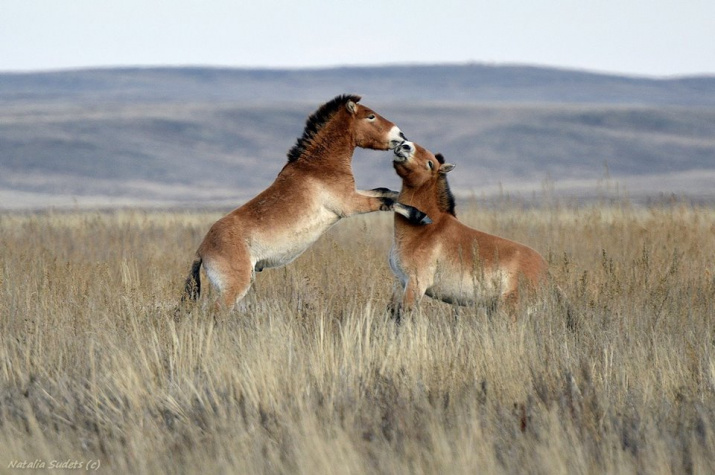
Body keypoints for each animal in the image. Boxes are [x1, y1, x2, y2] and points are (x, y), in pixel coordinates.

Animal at [185, 96, 430, 312]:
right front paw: (420, 215)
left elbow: (386, 192)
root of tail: (201, 249)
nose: (401, 136)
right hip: (234, 289)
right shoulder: (349, 204)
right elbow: (386, 201)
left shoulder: (352, 194)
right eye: (370, 116)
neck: (318, 166)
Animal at [392, 139, 548, 322]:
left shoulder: (415, 285)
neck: (425, 229)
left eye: (430, 163)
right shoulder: (403, 283)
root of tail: (545, 270)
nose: (404, 145)